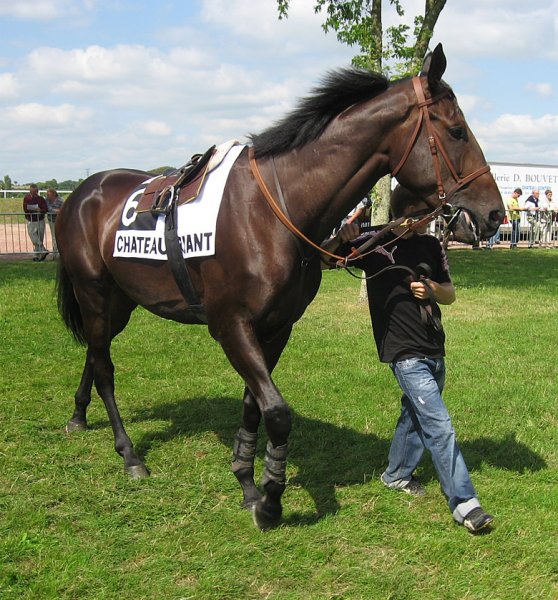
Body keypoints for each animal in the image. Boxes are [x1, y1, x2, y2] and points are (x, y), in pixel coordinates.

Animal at [54, 44, 506, 528]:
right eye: (457, 131)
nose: (496, 214)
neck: (273, 211)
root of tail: (82, 192)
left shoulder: (276, 326)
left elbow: (255, 404)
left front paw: (247, 478)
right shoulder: (231, 325)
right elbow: (276, 410)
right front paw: (270, 499)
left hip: (120, 302)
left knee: (94, 352)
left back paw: (78, 415)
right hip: (94, 293)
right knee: (104, 367)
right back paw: (129, 454)